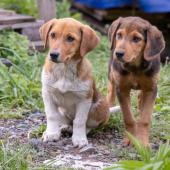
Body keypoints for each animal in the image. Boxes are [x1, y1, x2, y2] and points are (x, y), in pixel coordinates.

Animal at [39, 18, 110, 147]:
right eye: (53, 35)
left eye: (70, 38)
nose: (53, 54)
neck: (64, 70)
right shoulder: (47, 93)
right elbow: (51, 115)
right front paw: (51, 133)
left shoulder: (84, 98)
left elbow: (80, 121)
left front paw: (79, 138)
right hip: (62, 111)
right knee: (66, 121)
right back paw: (64, 127)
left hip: (98, 108)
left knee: (88, 125)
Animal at [107, 16, 165, 146]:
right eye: (119, 35)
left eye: (137, 39)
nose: (118, 53)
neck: (135, 67)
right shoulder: (121, 89)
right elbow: (128, 117)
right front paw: (130, 138)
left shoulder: (151, 89)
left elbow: (145, 118)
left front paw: (142, 141)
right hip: (112, 73)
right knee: (110, 89)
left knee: (140, 97)